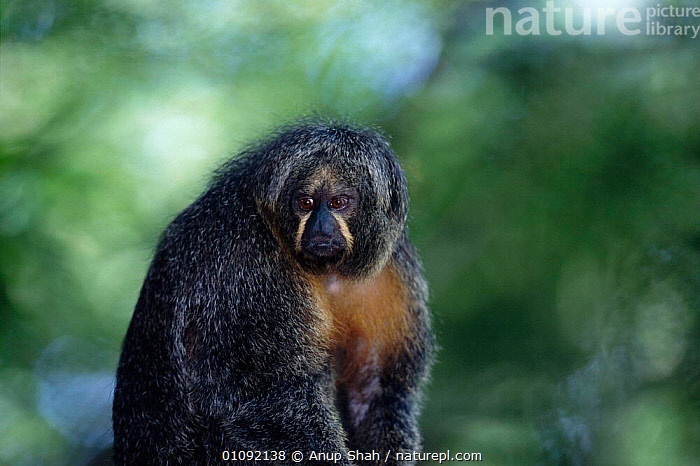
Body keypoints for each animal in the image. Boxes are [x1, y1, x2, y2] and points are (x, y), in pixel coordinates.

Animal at [112, 119, 434, 465]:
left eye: (338, 202)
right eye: (306, 203)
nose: (321, 228)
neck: (324, 273)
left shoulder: (393, 271)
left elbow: (374, 393)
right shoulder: (244, 262)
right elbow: (260, 392)